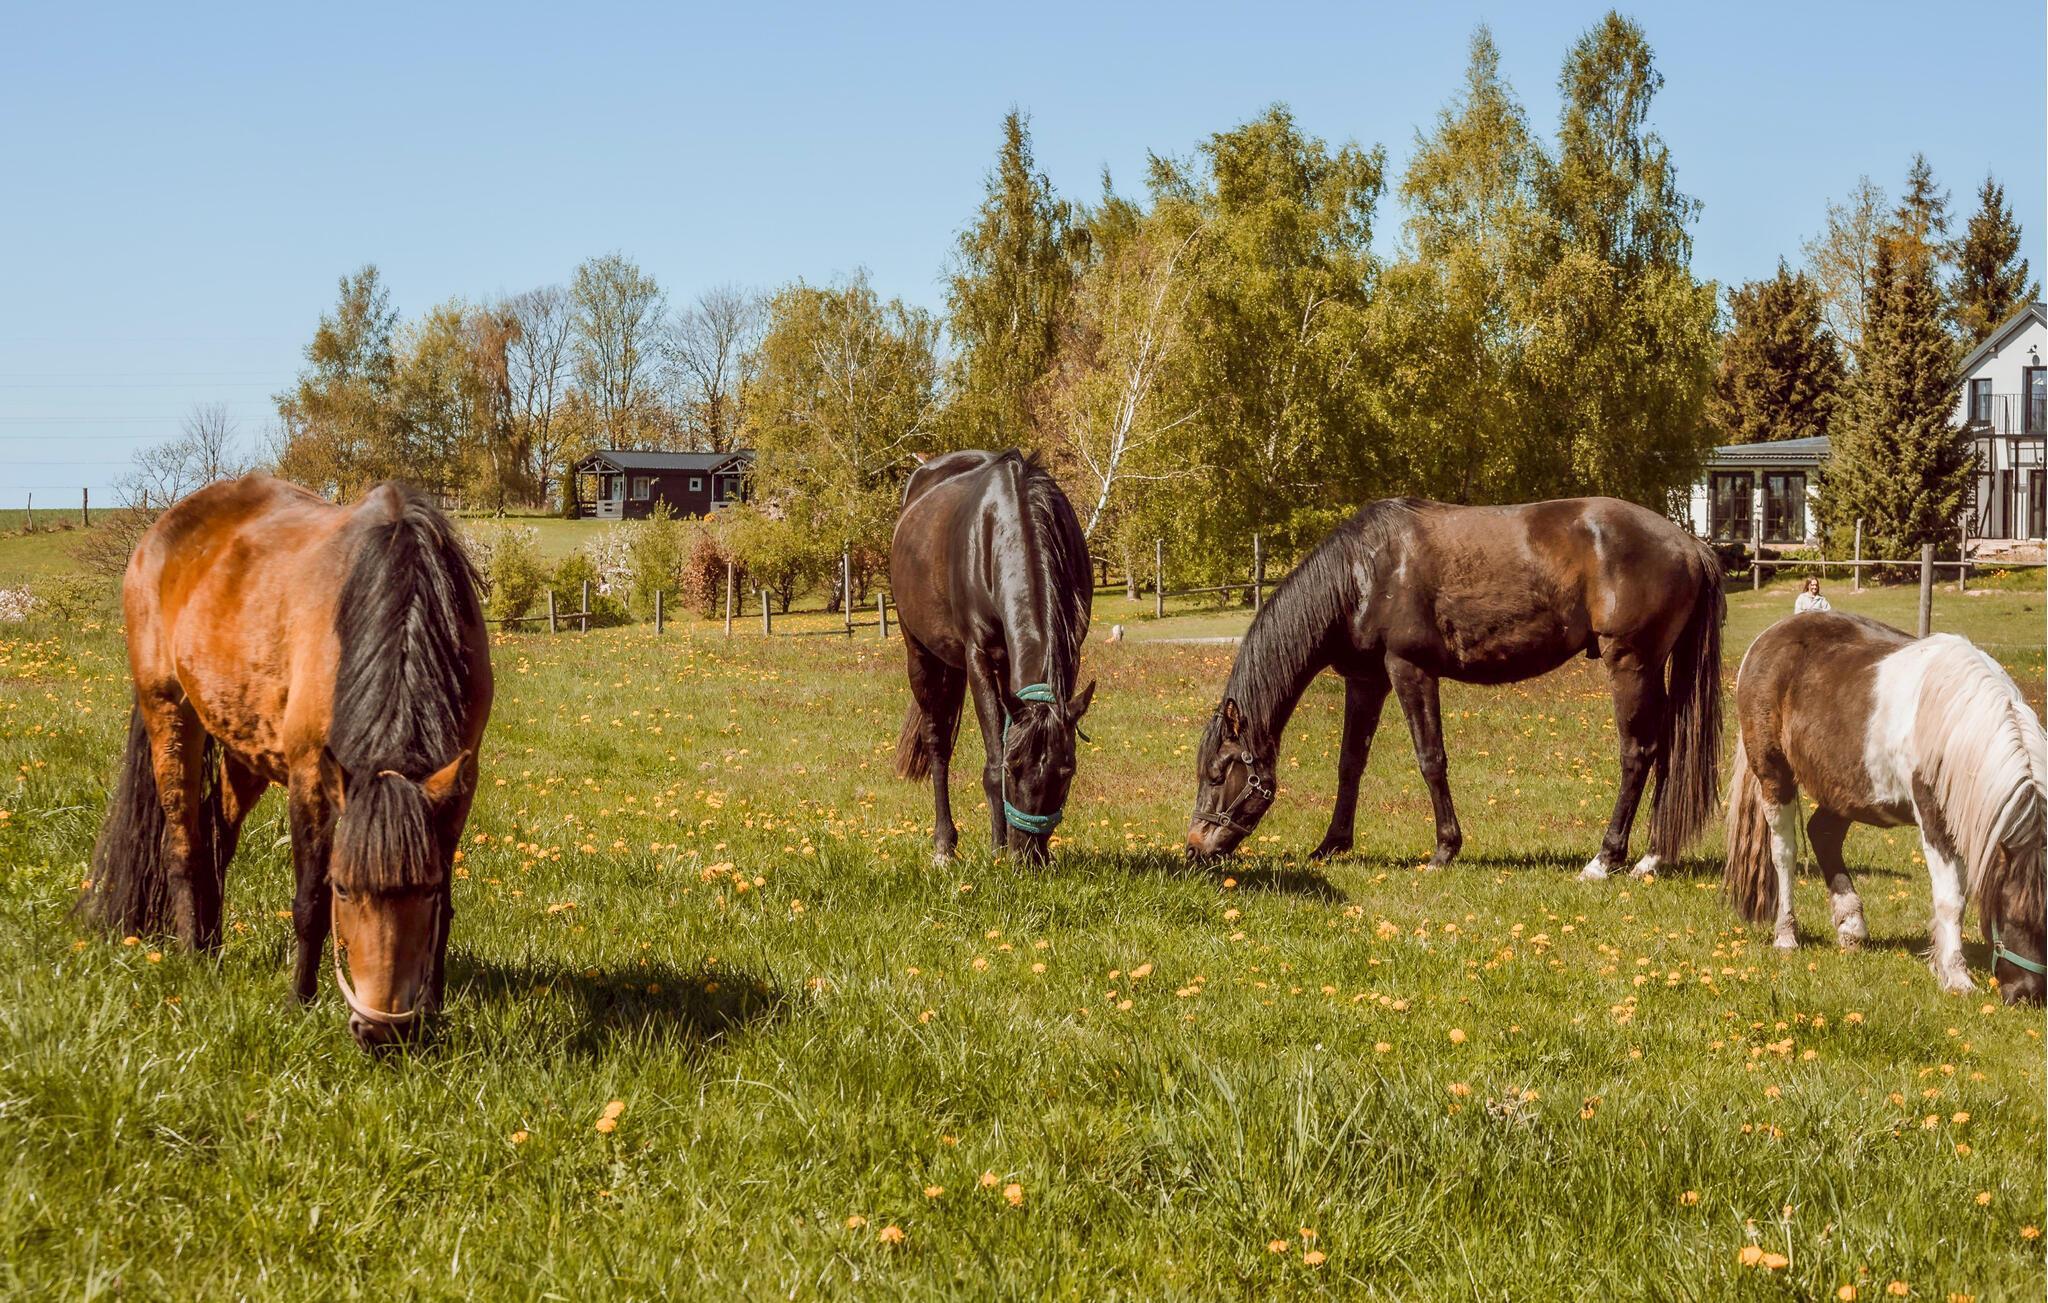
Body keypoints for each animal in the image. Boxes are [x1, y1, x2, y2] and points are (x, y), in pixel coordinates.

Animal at [79, 475, 493, 1050]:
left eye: (425, 888)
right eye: (344, 887)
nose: (381, 1032)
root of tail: (159, 533)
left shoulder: (457, 783)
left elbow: (447, 908)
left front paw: (433, 1006)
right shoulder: (311, 779)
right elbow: (308, 904)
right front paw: (300, 1001)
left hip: (244, 747)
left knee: (217, 839)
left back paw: (213, 945)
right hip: (169, 712)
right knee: (183, 847)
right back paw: (193, 956)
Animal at [890, 450, 1094, 864]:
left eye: (1066, 772)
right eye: (1015, 768)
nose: (1028, 857)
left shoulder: (1070, 654)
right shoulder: (979, 658)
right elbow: (992, 762)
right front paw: (997, 851)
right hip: (920, 655)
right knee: (937, 744)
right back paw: (943, 846)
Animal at [1186, 497, 1723, 879]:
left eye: (1217, 774)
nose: (1194, 849)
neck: (1363, 573)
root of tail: (1688, 544)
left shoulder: (1409, 669)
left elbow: (1431, 759)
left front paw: (1445, 849)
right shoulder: (1367, 680)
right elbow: (1350, 763)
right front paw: (1332, 845)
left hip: (1631, 664)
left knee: (1638, 753)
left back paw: (1606, 858)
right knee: (1668, 750)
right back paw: (1653, 857)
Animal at [1724, 612, 2045, 1003]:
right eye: (2012, 916)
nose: (2028, 994)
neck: (1957, 718)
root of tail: (1768, 637)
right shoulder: (1934, 818)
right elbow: (1952, 899)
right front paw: (1956, 976)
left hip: (1845, 788)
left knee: (1823, 834)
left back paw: (1851, 925)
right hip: (1774, 774)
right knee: (1784, 853)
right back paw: (1786, 934)